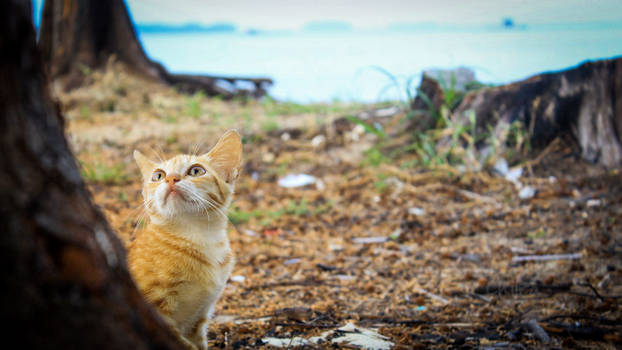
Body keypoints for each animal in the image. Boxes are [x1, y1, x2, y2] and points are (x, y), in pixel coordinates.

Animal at [129, 130, 241, 348]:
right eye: (158, 175)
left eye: (196, 171)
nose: (171, 178)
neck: (197, 237)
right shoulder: (155, 312)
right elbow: (181, 343)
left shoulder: (199, 317)